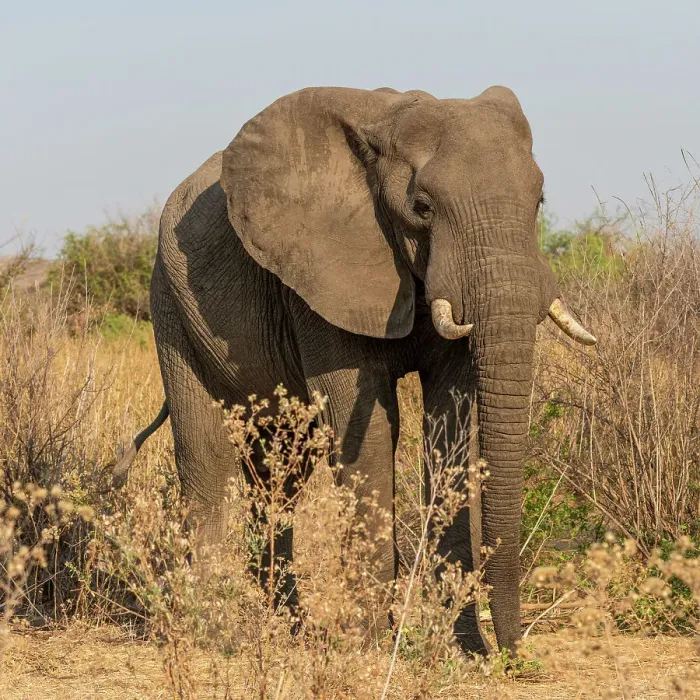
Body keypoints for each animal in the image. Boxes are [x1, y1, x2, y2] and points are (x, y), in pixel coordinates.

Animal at [115, 85, 595, 656]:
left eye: (539, 202)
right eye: (422, 208)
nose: (512, 651)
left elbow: (450, 431)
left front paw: (458, 648)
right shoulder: (319, 273)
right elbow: (365, 434)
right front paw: (370, 645)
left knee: (280, 471)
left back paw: (292, 629)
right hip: (170, 302)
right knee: (206, 456)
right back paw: (211, 633)